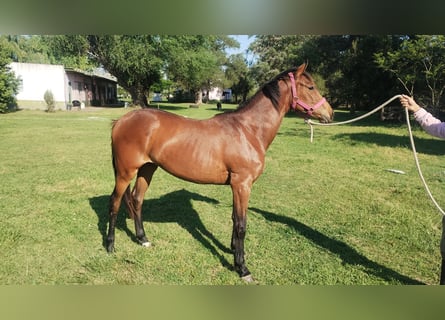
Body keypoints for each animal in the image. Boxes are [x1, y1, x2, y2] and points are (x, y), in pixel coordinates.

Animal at [106, 63, 332, 282]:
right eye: (311, 87)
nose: (330, 113)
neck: (248, 130)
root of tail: (120, 121)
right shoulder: (242, 184)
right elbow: (241, 224)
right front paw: (242, 268)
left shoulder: (236, 186)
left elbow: (234, 218)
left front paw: (233, 251)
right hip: (125, 172)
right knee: (115, 202)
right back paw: (110, 245)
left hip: (147, 168)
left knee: (137, 200)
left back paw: (142, 239)